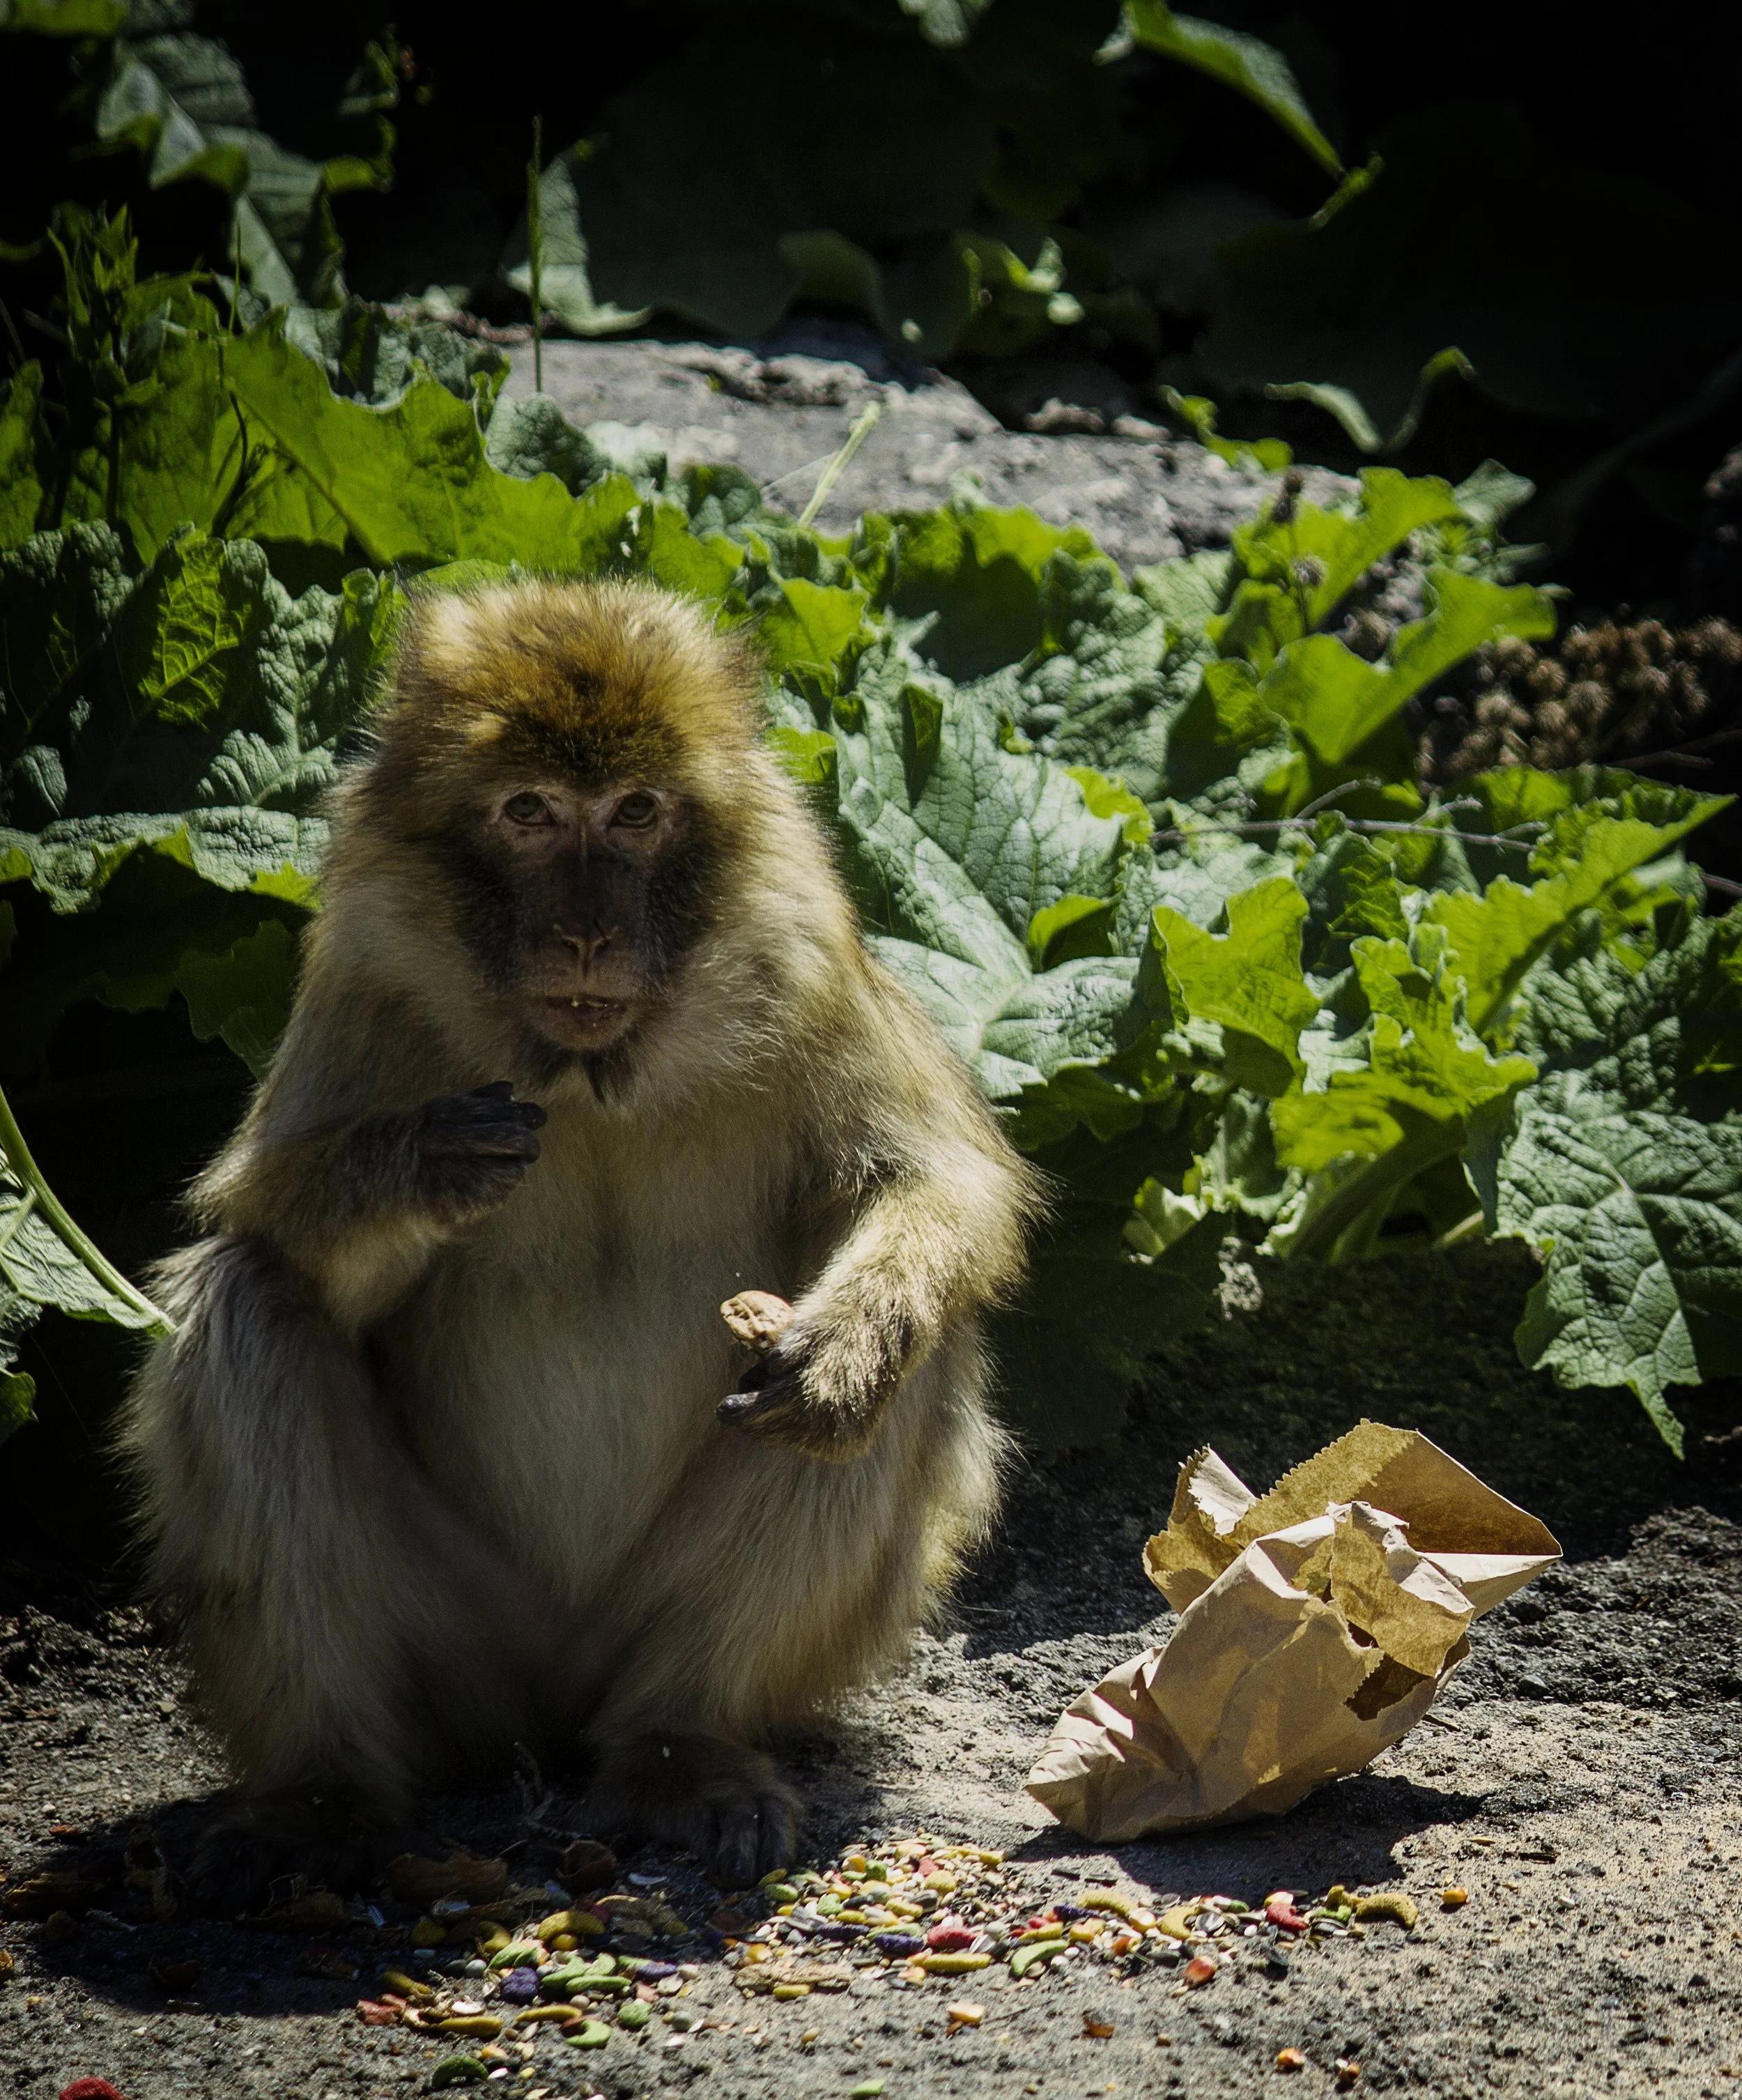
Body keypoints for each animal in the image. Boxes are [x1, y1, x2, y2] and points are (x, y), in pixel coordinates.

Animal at [121, 576, 1041, 1911]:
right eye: (531, 814)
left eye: (638, 814)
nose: (590, 936)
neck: (594, 1076)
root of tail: (550, 1702)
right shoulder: (363, 979)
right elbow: (263, 1224)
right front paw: (418, 1168)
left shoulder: (809, 961)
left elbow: (936, 1185)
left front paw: (844, 1347)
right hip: (456, 1649)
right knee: (248, 1310)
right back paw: (318, 1795)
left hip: (673, 1641)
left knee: (904, 1379)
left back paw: (679, 1745)